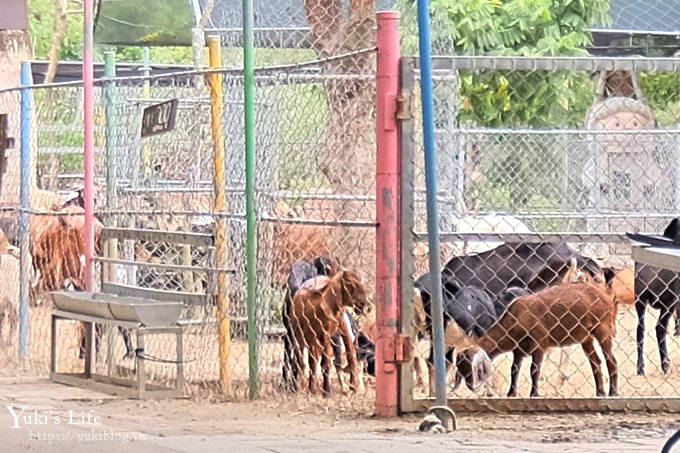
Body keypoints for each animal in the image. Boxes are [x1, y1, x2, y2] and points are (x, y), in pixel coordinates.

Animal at [288, 268, 370, 396]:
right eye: (349, 284)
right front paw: (310, 388)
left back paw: (351, 386)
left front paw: (326, 391)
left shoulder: (326, 334)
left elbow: (325, 363)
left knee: (349, 357)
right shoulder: (307, 337)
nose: (363, 305)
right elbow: (305, 362)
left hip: (340, 330)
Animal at [456, 268, 620, 396]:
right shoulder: (518, 350)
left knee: (611, 360)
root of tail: (606, 295)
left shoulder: (540, 343)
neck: (517, 317)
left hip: (603, 329)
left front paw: (534, 393)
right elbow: (514, 369)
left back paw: (613, 392)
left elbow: (534, 370)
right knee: (596, 363)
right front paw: (511, 393)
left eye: (471, 367)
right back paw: (600, 392)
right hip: (586, 338)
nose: (470, 386)